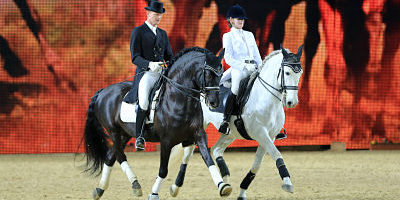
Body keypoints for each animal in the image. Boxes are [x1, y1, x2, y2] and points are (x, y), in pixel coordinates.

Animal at [83, 47, 233, 198]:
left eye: (221, 74)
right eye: (208, 74)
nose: (214, 103)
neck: (179, 99)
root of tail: (103, 91)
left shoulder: (198, 134)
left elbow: (208, 159)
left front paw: (223, 186)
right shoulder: (166, 141)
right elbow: (163, 170)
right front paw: (154, 194)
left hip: (124, 134)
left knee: (110, 157)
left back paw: (101, 189)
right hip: (113, 131)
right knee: (120, 155)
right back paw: (135, 184)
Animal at [169, 45, 304, 200]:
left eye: (300, 73)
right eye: (287, 72)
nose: (291, 102)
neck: (265, 98)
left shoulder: (270, 136)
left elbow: (257, 165)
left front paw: (242, 193)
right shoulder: (260, 133)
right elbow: (277, 154)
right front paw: (287, 183)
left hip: (231, 133)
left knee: (216, 149)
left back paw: (225, 180)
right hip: (200, 126)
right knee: (188, 154)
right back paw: (175, 187)